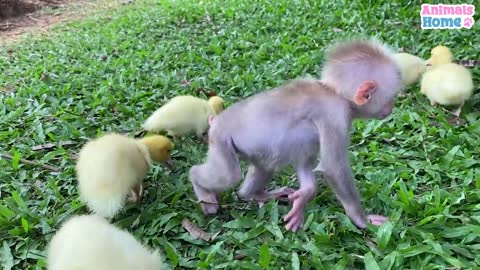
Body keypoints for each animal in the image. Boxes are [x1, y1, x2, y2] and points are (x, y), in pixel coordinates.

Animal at [189, 38, 404, 232]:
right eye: (390, 98)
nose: (391, 108)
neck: (334, 93)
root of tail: (216, 121)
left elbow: (305, 159)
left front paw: (304, 196)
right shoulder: (335, 116)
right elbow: (334, 166)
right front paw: (361, 219)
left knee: (265, 166)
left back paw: (253, 195)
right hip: (220, 139)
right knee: (229, 175)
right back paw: (199, 183)